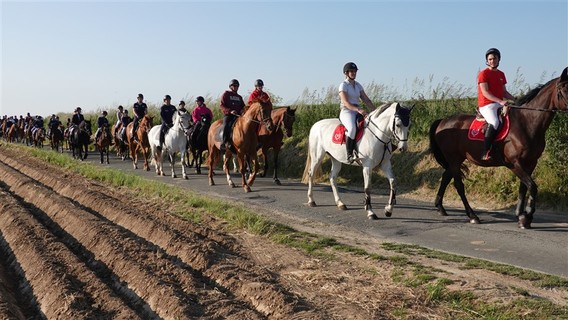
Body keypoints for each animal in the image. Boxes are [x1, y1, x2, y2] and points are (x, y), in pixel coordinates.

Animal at [430, 66, 568, 229]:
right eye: (565, 89)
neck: (526, 122)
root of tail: (442, 121)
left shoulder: (531, 162)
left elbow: (524, 187)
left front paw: (520, 215)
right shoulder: (514, 163)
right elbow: (532, 186)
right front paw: (527, 216)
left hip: (456, 160)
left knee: (446, 177)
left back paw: (440, 207)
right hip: (453, 159)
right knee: (459, 185)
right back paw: (472, 216)